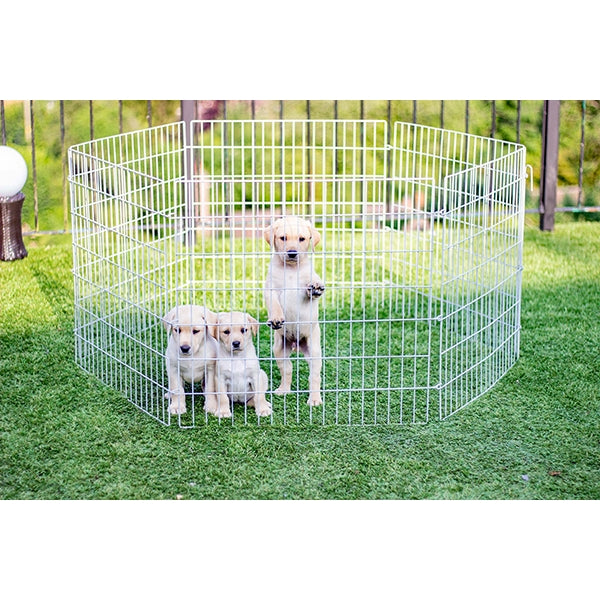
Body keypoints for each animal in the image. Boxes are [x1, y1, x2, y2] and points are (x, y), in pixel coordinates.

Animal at [264, 216, 326, 408]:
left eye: (302, 239)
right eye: (283, 238)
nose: (292, 253)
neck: (291, 269)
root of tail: (296, 345)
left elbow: (312, 286)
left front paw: (316, 286)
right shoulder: (270, 289)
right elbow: (274, 304)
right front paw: (276, 318)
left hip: (314, 350)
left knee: (314, 376)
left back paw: (314, 399)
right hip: (279, 349)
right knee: (287, 370)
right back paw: (283, 390)